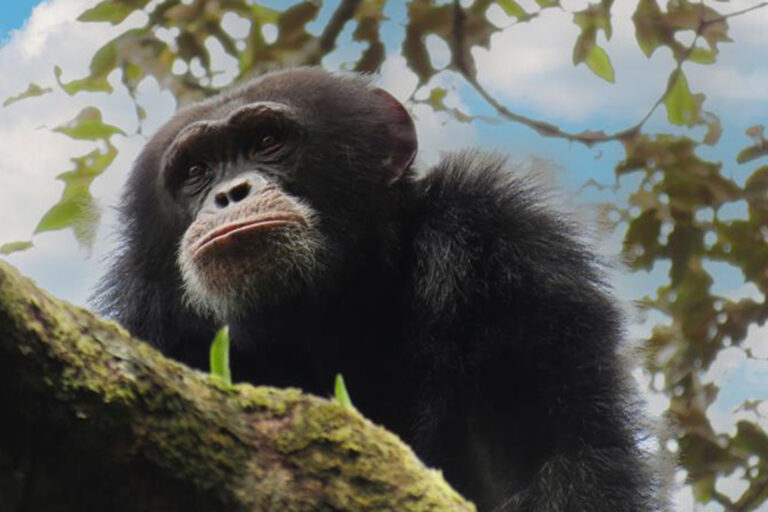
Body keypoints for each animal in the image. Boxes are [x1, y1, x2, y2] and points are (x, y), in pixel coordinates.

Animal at [94, 68, 660, 512]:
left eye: (266, 142)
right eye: (196, 170)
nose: (230, 193)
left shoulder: (510, 247)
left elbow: (554, 460)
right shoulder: (146, 323)